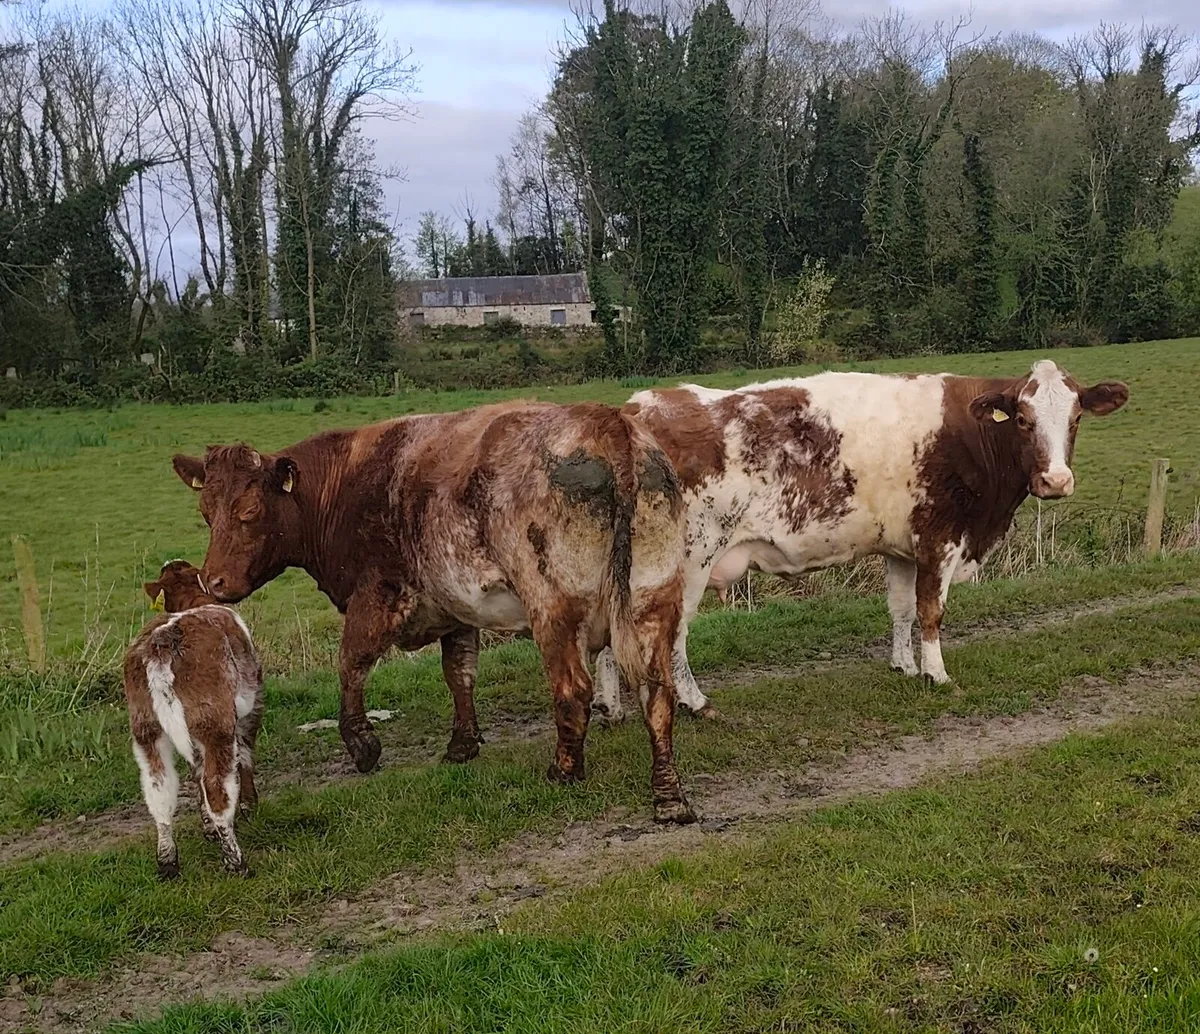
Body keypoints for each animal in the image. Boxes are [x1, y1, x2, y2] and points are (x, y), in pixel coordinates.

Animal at [125, 560, 264, 879]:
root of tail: (163, 641)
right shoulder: (251, 709)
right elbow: (245, 756)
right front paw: (249, 806)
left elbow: (194, 772)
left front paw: (208, 828)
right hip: (215, 724)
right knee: (217, 787)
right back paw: (236, 862)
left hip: (146, 728)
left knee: (159, 790)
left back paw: (167, 862)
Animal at [171, 401, 697, 823]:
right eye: (204, 513)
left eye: (249, 511)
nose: (212, 582)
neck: (348, 480)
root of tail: (605, 420)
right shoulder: (456, 609)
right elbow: (459, 673)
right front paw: (462, 743)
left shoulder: (377, 594)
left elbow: (351, 663)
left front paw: (363, 746)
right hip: (653, 595)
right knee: (657, 690)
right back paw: (668, 796)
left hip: (553, 607)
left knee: (573, 689)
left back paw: (563, 771)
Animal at [592, 359, 1128, 720]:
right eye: (1021, 419)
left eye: (1076, 419)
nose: (1056, 481)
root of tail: (633, 409)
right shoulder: (940, 539)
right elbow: (931, 611)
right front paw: (937, 674)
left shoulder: (902, 546)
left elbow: (901, 609)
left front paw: (904, 666)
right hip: (687, 560)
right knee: (670, 633)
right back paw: (694, 701)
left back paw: (610, 706)